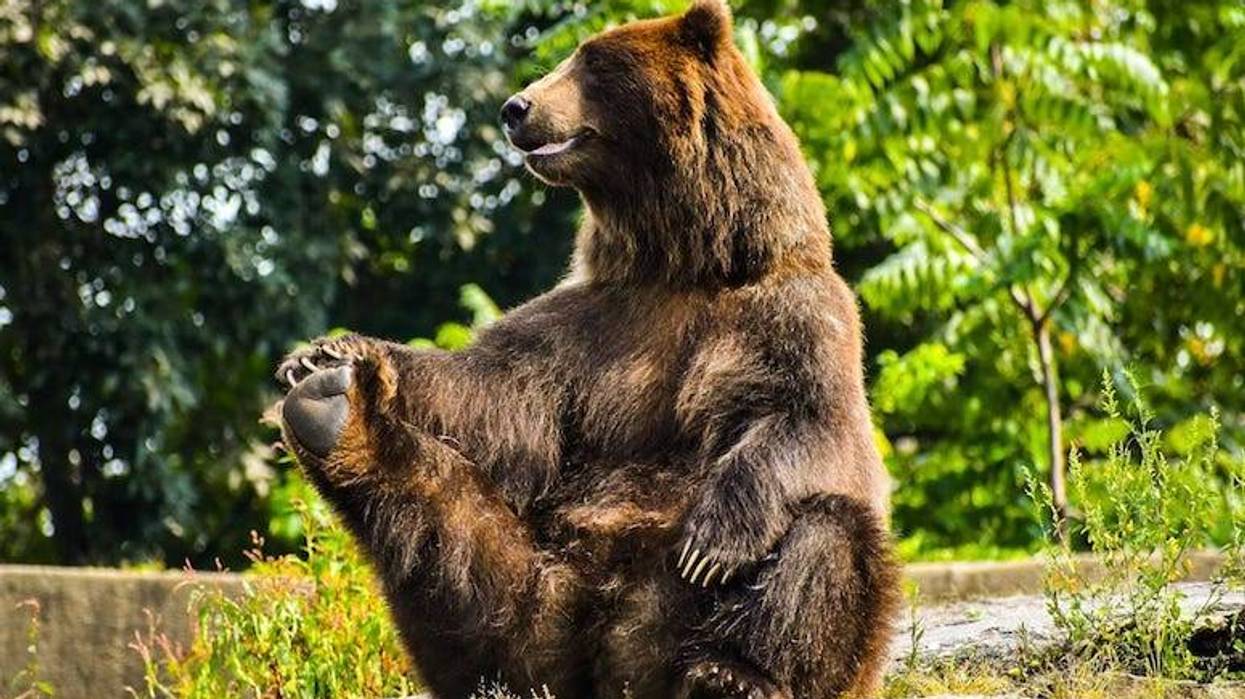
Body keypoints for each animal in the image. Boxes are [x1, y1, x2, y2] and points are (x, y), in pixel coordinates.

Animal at [274, 1, 899, 697]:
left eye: (593, 62)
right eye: (572, 58)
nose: (515, 107)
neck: (685, 261)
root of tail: (613, 664)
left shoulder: (797, 317)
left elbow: (807, 420)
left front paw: (711, 542)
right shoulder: (586, 329)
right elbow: (491, 395)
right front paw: (324, 354)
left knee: (828, 535)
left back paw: (730, 673)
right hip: (530, 589)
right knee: (445, 539)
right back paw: (332, 414)